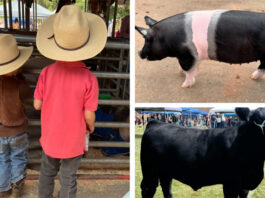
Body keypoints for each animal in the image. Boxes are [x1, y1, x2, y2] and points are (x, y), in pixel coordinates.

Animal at [135, 10, 264, 87]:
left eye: (147, 39)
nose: (139, 52)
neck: (167, 37)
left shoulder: (185, 55)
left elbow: (188, 70)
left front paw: (184, 85)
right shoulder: (194, 55)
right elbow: (193, 67)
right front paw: (180, 72)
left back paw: (252, 77)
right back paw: (253, 77)